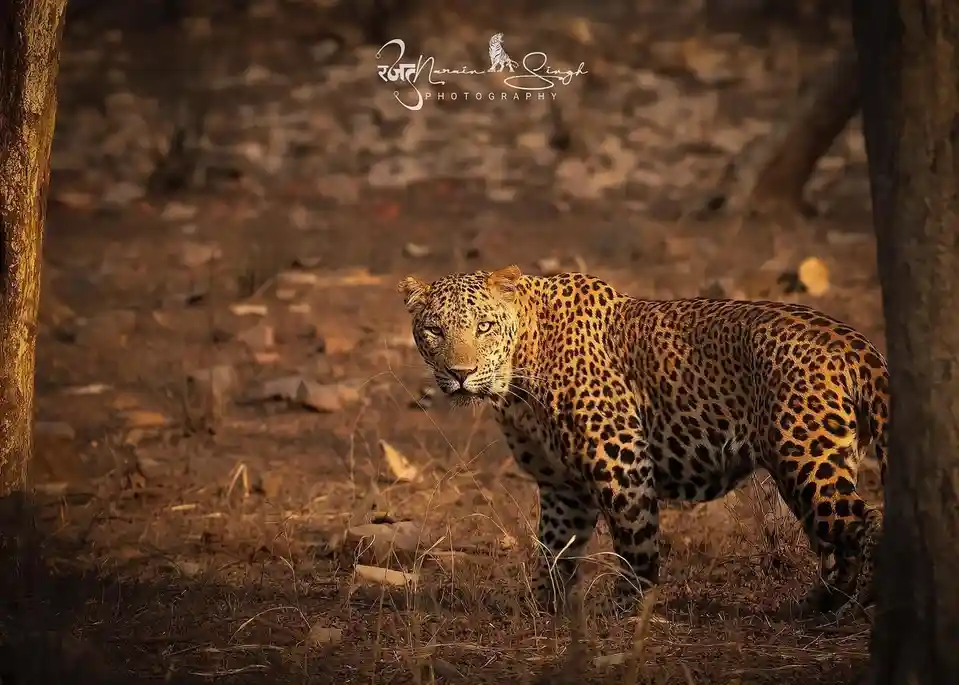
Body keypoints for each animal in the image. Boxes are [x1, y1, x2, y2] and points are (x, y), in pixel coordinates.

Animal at [398, 265, 887, 620]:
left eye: (483, 327)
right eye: (434, 330)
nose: (460, 374)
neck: (517, 374)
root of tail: (854, 342)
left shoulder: (620, 460)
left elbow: (636, 540)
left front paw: (629, 607)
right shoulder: (561, 487)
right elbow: (554, 550)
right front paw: (543, 608)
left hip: (804, 455)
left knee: (868, 520)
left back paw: (857, 606)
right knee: (833, 536)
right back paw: (820, 602)